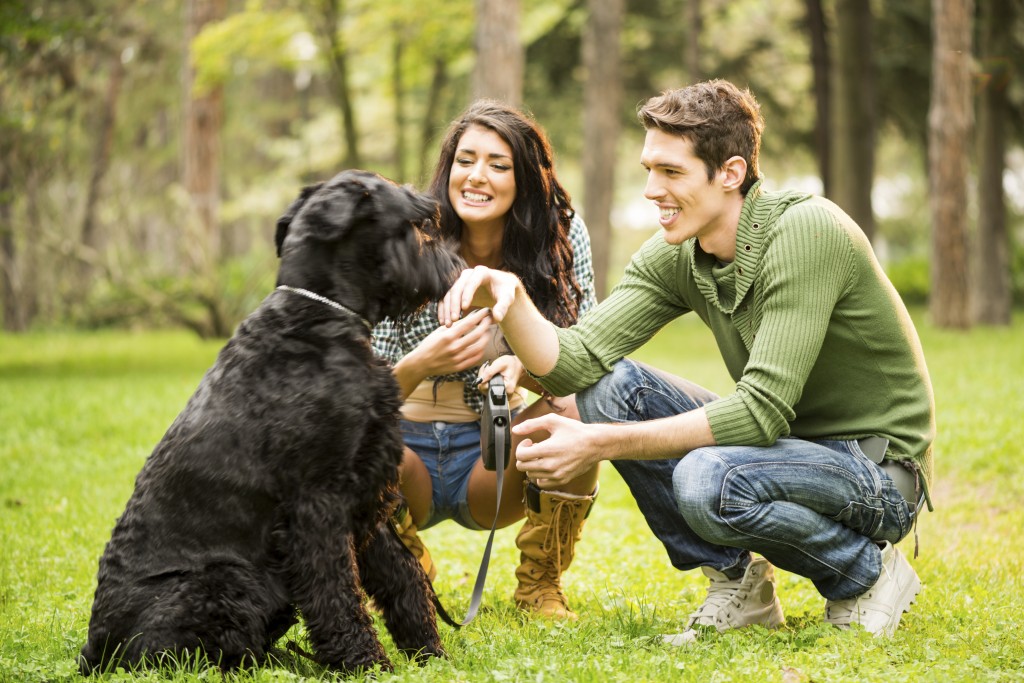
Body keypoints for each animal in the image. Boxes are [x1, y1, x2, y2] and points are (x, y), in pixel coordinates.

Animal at [77, 169, 462, 671]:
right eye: (418, 222)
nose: (455, 264)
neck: (320, 316)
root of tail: (94, 651)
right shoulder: (318, 503)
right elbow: (337, 590)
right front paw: (364, 663)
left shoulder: (367, 493)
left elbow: (402, 576)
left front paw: (428, 652)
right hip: (230, 581)